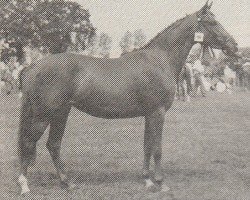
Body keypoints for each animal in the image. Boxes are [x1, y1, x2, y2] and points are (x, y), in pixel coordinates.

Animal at [17, 1, 238, 195]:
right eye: (212, 22)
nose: (234, 46)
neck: (160, 60)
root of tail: (32, 67)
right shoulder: (158, 113)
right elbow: (157, 147)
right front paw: (161, 182)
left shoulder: (149, 114)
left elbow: (147, 146)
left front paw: (147, 180)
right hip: (43, 116)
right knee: (28, 143)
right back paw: (25, 186)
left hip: (61, 113)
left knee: (53, 145)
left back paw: (67, 182)